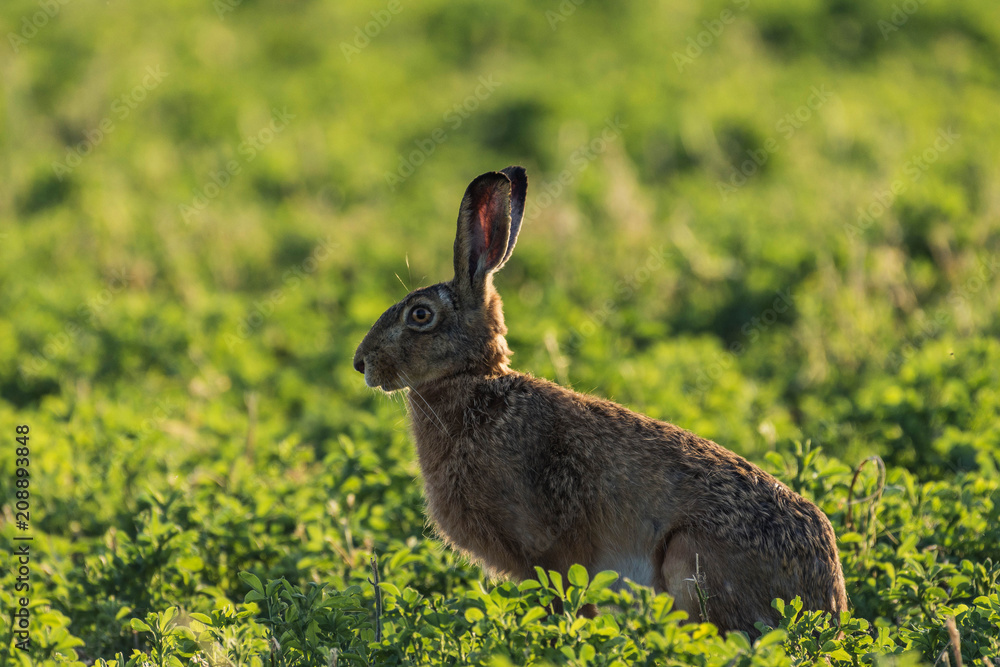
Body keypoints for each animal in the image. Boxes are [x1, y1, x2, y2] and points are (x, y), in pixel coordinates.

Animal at [353, 166, 848, 634]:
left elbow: (566, 604)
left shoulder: (550, 552)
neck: (475, 382)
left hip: (688, 559)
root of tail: (828, 604)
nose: (361, 363)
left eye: (420, 315)